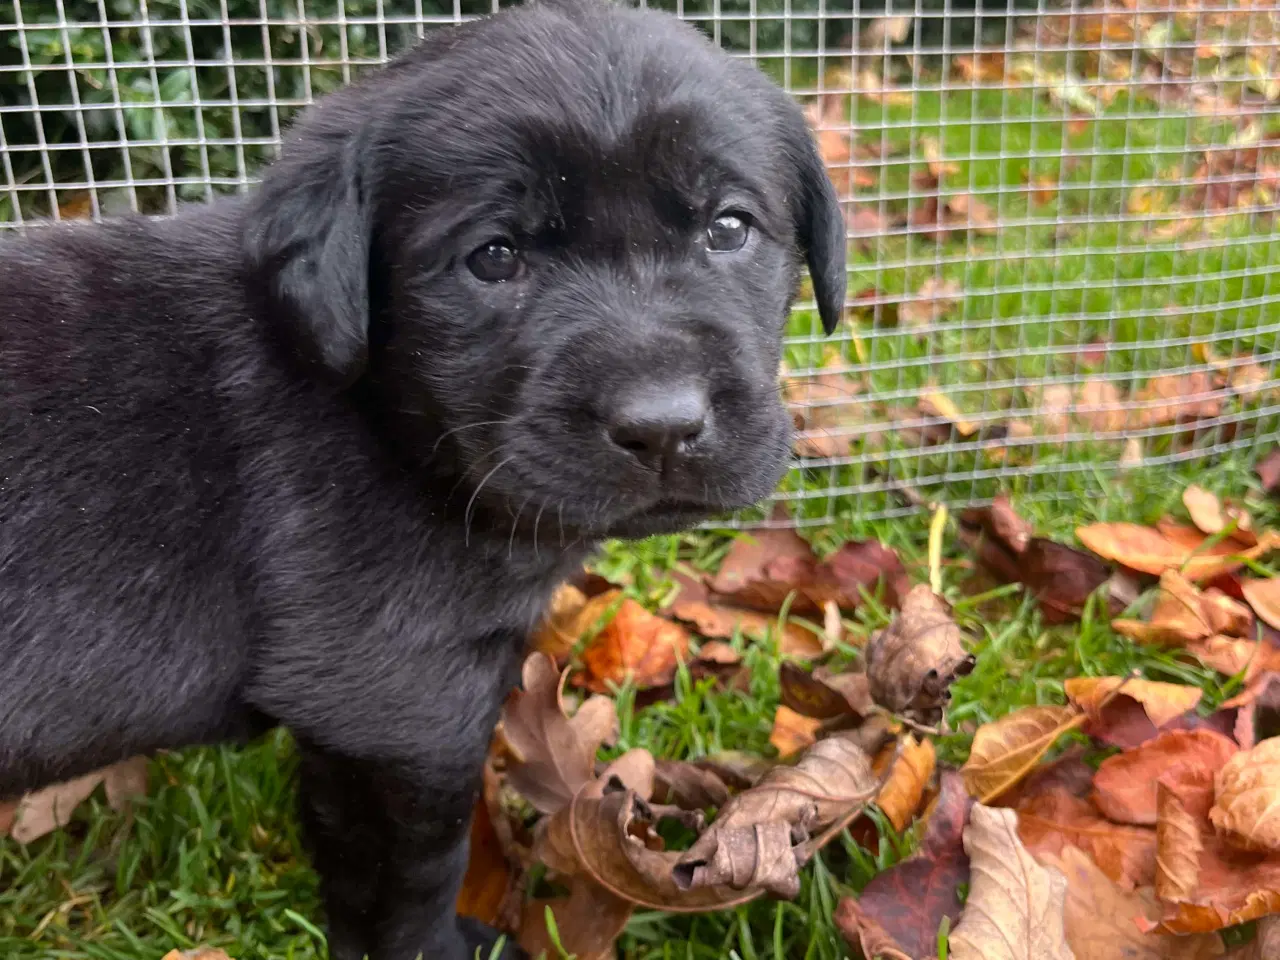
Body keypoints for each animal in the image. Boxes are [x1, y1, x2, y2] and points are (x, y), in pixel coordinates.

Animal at [2, 3, 849, 957]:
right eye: (494, 256)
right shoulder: (399, 708)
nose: (663, 424)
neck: (388, 418)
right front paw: (437, 947)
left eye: (729, 228)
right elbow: (415, 873)